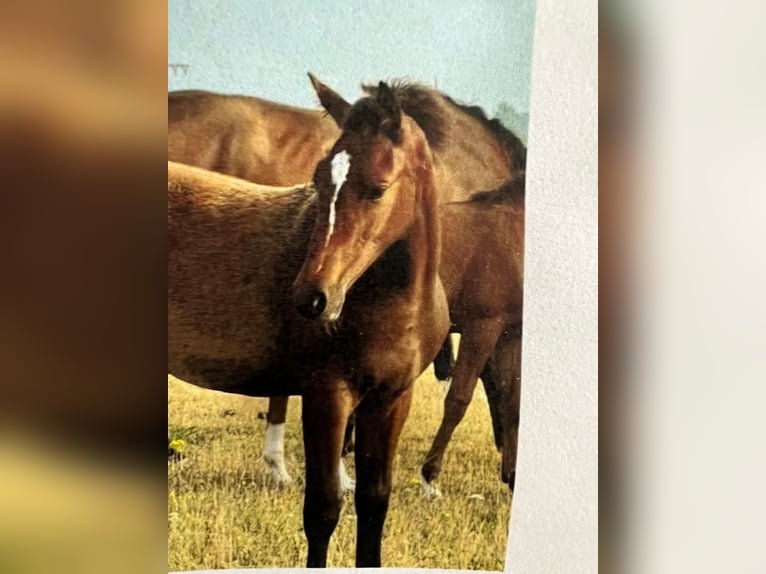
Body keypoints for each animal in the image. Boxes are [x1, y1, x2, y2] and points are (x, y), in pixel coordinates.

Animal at [168, 81, 450, 567]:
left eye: (378, 189)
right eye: (318, 181)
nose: (311, 299)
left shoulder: (391, 400)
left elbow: (374, 503)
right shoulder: (326, 395)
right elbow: (322, 509)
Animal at [309, 77, 526, 493]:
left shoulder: (511, 331)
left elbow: (511, 398)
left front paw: (510, 474)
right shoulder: (483, 326)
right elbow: (460, 397)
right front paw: (429, 475)